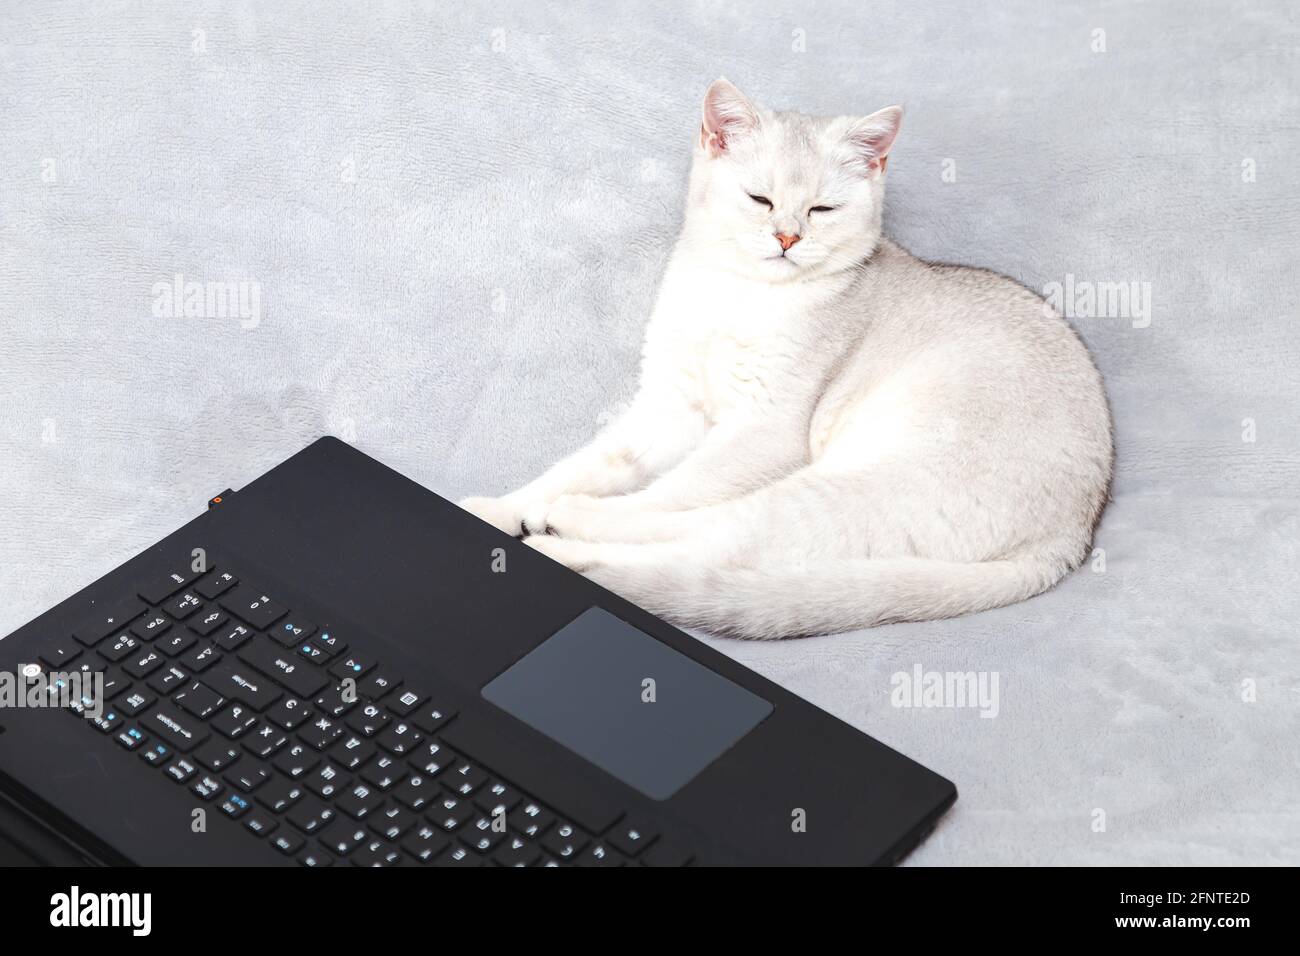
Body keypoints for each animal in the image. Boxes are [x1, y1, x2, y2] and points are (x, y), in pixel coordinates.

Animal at [462, 78, 1112, 639]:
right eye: (760, 198)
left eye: (823, 210)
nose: (787, 238)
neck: (735, 297)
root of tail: (1071, 539)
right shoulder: (668, 406)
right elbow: (587, 463)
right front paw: (501, 507)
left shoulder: (763, 431)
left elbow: (673, 488)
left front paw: (546, 512)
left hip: (849, 482)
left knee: (709, 536)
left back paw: (564, 536)